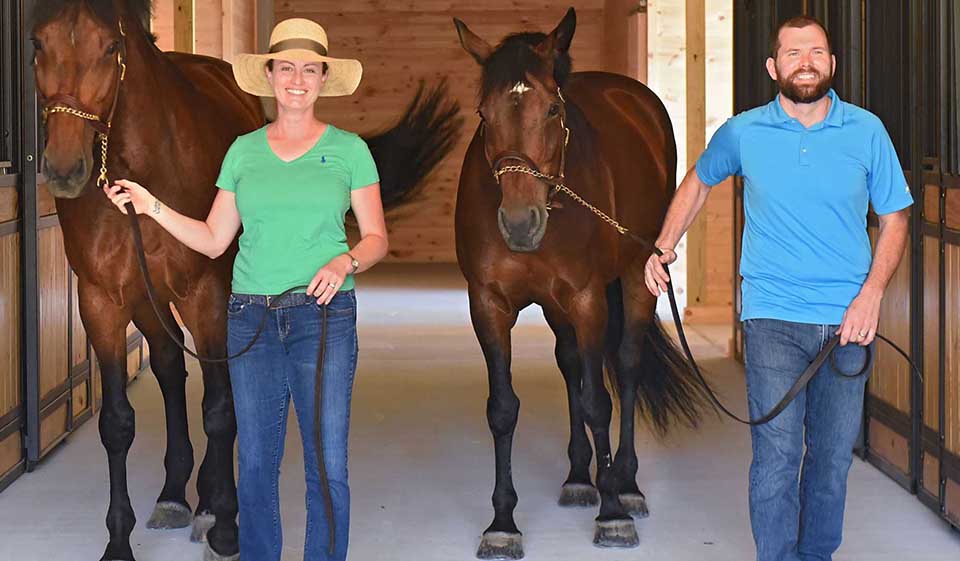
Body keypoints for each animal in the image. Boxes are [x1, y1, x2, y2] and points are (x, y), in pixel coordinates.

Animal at [453, 8, 711, 558]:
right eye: (483, 114)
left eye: (553, 110)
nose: (520, 223)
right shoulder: (488, 305)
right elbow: (503, 408)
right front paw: (502, 523)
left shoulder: (590, 301)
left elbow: (599, 401)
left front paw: (612, 514)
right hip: (556, 308)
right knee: (571, 365)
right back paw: (578, 476)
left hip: (636, 278)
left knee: (626, 368)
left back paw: (626, 484)